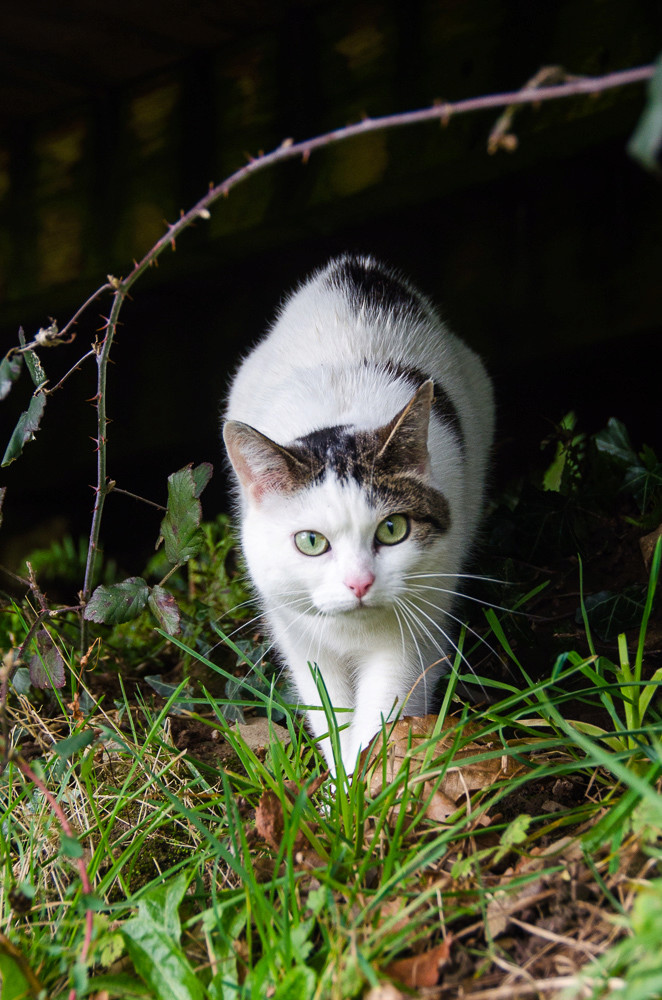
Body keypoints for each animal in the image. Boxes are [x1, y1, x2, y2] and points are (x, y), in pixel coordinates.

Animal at [226, 256, 496, 772]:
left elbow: (382, 714)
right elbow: (332, 714)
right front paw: (341, 785)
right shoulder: (300, 637)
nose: (359, 583)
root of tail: (354, 266)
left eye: (392, 529)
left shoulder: (413, 632)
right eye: (311, 541)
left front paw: (372, 786)